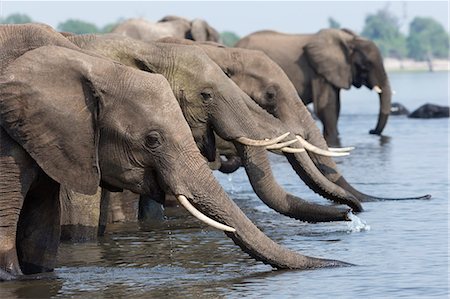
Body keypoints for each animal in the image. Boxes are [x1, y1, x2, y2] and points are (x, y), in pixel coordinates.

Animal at [237, 28, 392, 148]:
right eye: (365, 66)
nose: (371, 131)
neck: (349, 40)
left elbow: (335, 107)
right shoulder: (319, 72)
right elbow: (327, 108)